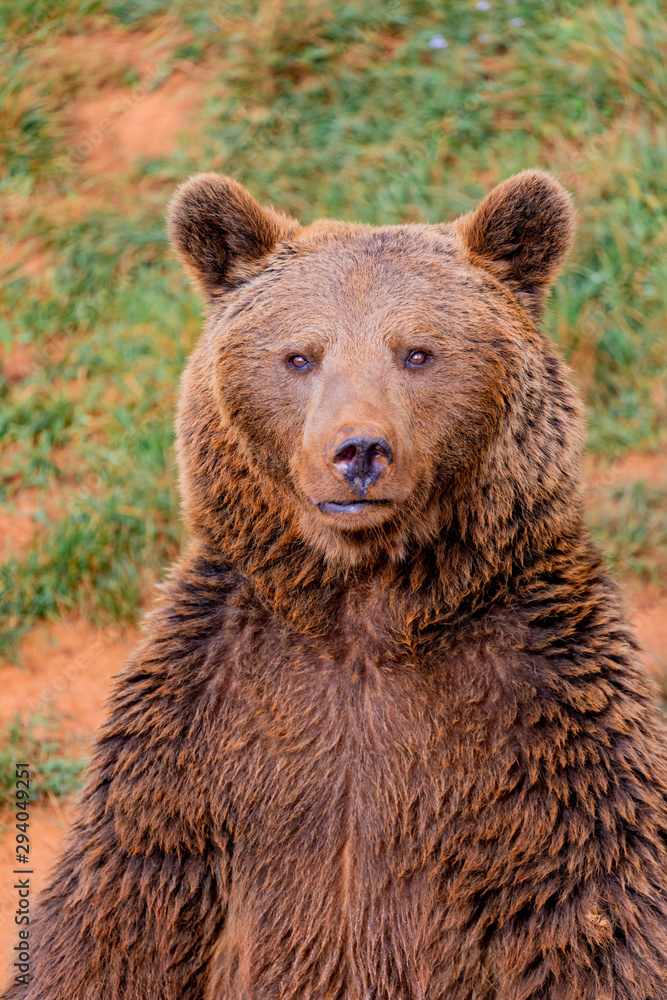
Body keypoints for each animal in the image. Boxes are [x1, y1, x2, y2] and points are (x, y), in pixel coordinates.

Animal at [5, 172, 667, 1000]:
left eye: (416, 352)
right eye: (299, 356)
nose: (358, 451)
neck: (361, 607)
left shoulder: (545, 726)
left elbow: (594, 916)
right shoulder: (199, 731)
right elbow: (116, 918)